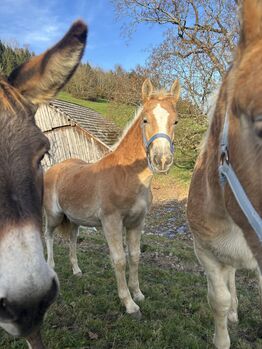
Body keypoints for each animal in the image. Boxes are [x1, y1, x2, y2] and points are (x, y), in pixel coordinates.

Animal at [44, 78, 180, 316]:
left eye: (175, 121)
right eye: (145, 120)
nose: (162, 160)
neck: (126, 174)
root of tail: (54, 169)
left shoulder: (136, 222)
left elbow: (134, 256)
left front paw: (138, 294)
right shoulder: (111, 222)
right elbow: (119, 260)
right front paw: (129, 304)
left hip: (74, 219)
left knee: (71, 240)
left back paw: (77, 270)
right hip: (54, 216)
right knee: (48, 236)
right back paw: (51, 268)